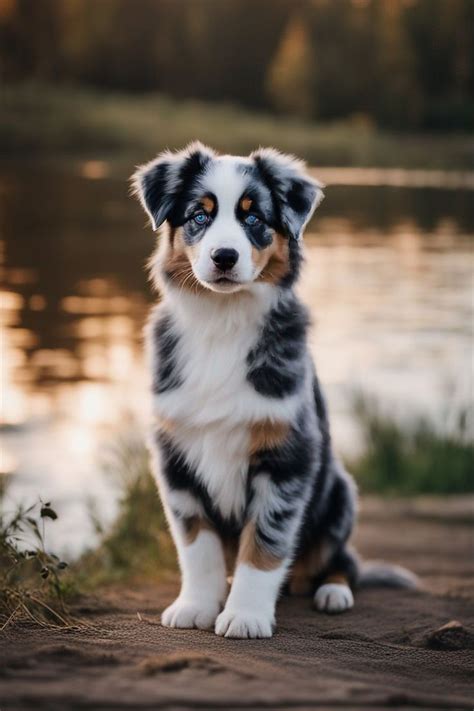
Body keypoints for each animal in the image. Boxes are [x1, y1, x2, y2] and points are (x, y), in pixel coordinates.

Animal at [131, 140, 416, 640]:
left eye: (254, 218)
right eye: (199, 215)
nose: (224, 256)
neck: (222, 322)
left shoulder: (287, 457)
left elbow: (264, 544)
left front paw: (245, 615)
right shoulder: (175, 457)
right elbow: (197, 545)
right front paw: (196, 605)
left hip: (340, 494)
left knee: (343, 561)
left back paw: (333, 592)